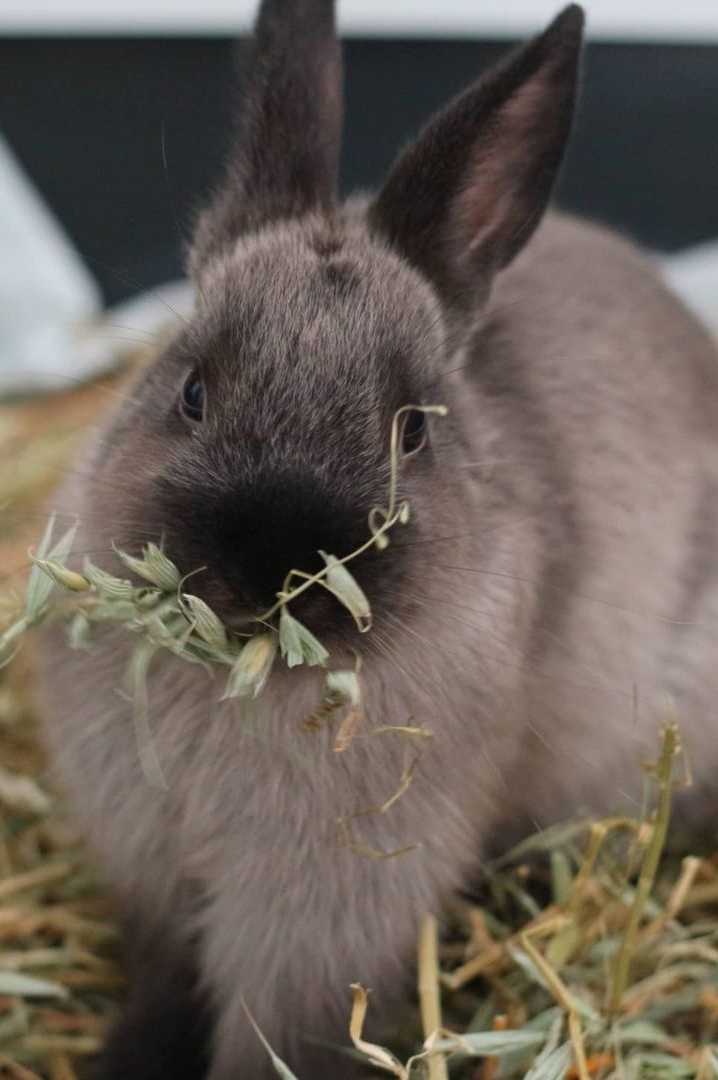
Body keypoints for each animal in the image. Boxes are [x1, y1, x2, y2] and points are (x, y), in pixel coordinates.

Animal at [35, 0, 718, 1075]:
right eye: (191, 391)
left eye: (412, 433)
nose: (269, 567)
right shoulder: (152, 875)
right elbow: (163, 989)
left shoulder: (319, 925)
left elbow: (277, 1036)